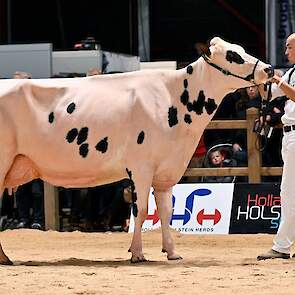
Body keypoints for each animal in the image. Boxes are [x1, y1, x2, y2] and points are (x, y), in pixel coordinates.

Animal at [0, 37, 276, 266]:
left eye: (241, 49)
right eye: (233, 55)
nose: (269, 69)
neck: (173, 99)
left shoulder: (166, 172)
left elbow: (166, 212)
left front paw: (171, 252)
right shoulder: (141, 168)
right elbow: (141, 211)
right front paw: (137, 254)